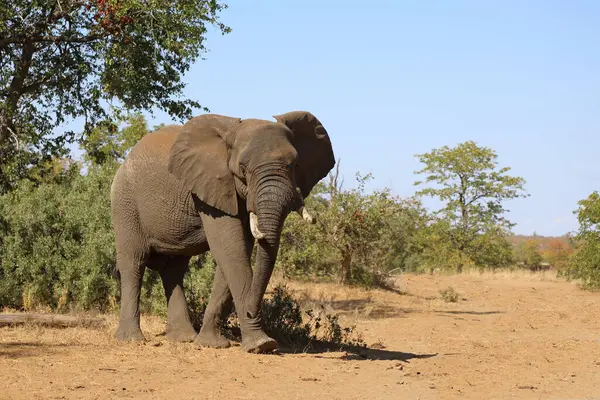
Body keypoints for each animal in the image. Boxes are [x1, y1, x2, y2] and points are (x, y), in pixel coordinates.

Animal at [110, 111, 336, 352]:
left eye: (294, 166)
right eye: (243, 169)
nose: (250, 311)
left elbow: (237, 251)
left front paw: (212, 344)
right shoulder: (211, 186)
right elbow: (231, 249)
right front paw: (261, 345)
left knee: (174, 269)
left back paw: (183, 338)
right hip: (125, 204)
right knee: (134, 262)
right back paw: (131, 339)